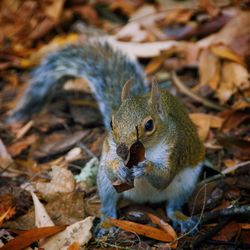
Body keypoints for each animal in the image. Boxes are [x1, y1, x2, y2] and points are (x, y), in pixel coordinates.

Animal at [8, 40, 205, 235]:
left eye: (149, 125)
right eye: (111, 123)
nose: (122, 151)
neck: (147, 151)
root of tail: (145, 199)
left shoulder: (175, 149)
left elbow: (164, 178)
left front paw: (145, 167)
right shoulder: (110, 148)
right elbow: (112, 167)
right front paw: (118, 167)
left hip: (185, 183)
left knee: (173, 206)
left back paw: (181, 218)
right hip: (105, 184)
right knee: (108, 204)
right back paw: (107, 223)